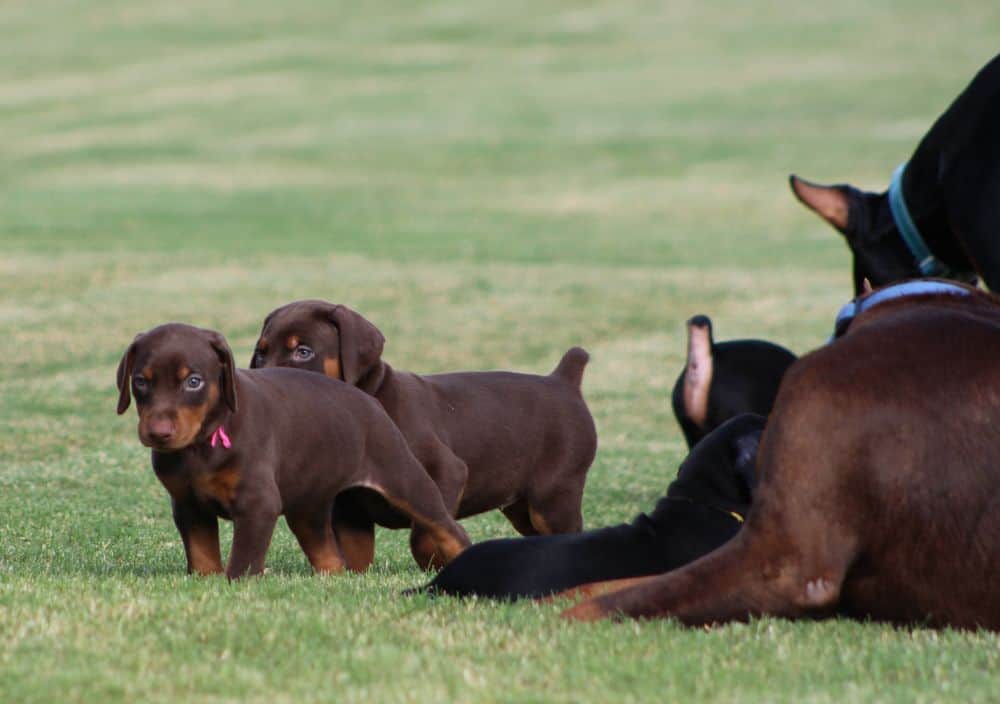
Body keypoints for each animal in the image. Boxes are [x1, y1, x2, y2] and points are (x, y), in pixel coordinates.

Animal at [116, 324, 472, 576]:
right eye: (141, 381)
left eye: (193, 382)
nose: (158, 433)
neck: (203, 444)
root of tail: (368, 399)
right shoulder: (188, 505)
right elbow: (203, 559)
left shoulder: (258, 503)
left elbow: (242, 564)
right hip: (309, 507)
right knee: (331, 559)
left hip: (403, 476)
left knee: (446, 526)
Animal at [250, 302, 596, 572]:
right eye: (260, 354)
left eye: (303, 352)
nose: (264, 384)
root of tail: (563, 382)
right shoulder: (347, 503)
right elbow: (355, 553)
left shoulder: (446, 472)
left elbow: (425, 532)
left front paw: (436, 562)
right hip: (519, 503)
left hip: (553, 495)